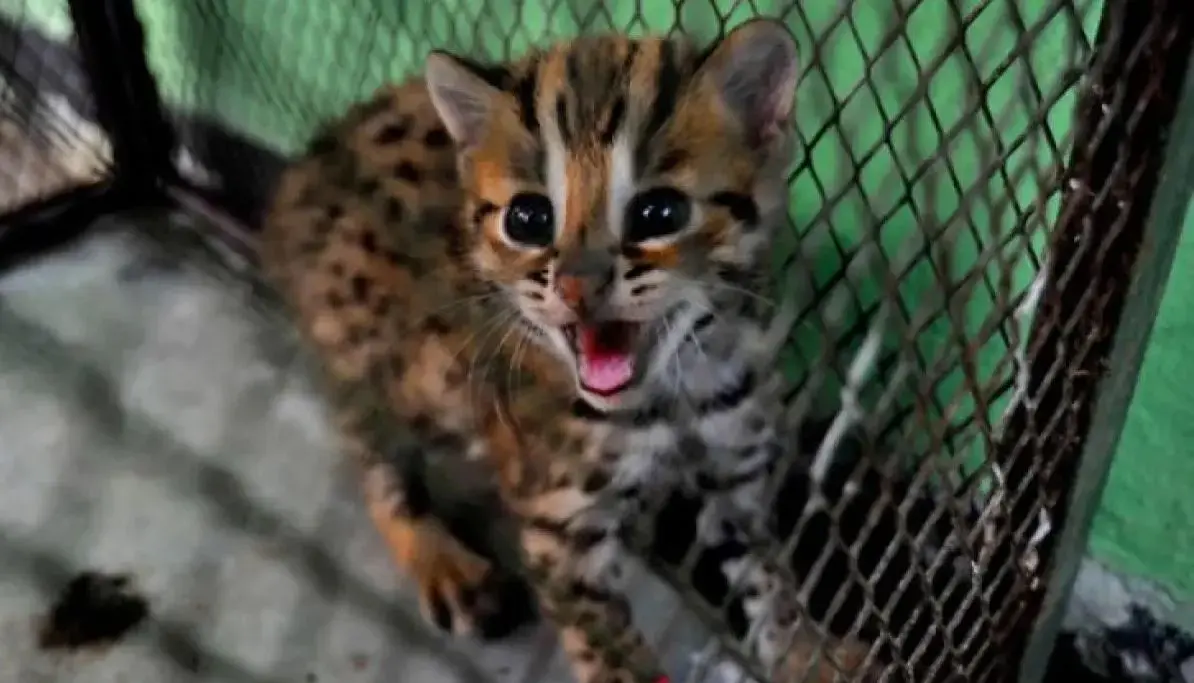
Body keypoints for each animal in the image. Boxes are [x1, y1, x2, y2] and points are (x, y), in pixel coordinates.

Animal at [260, 19, 875, 683]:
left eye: (660, 212)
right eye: (528, 218)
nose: (578, 287)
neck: (673, 392)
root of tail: (305, 167)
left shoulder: (737, 465)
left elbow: (768, 571)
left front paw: (806, 652)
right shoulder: (562, 533)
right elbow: (611, 650)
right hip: (368, 357)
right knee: (372, 457)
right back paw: (438, 557)